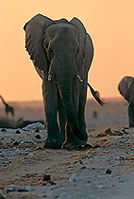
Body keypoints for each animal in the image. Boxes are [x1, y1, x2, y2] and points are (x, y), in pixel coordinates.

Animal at [23, 14, 103, 148]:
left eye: (77, 51)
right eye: (50, 50)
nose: (83, 136)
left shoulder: (79, 62)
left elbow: (74, 89)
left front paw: (73, 144)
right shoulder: (44, 59)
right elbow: (48, 88)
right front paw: (52, 145)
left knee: (81, 95)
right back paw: (62, 142)